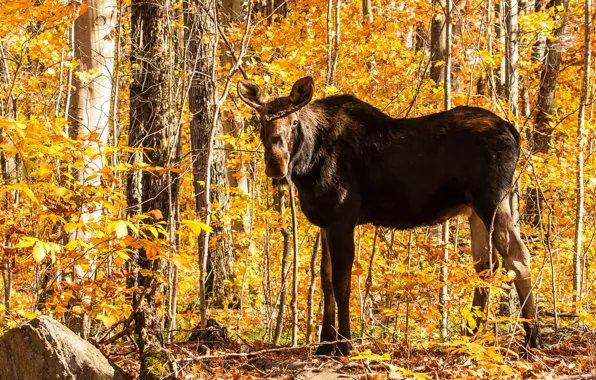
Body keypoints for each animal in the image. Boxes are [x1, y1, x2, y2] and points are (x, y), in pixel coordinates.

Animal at [236, 76, 540, 356]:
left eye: (294, 122)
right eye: (261, 122)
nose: (276, 162)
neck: (307, 165)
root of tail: (515, 134)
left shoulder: (342, 218)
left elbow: (342, 283)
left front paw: (344, 344)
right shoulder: (326, 221)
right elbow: (326, 280)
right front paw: (325, 344)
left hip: (492, 199)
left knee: (517, 256)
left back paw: (532, 340)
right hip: (474, 210)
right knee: (486, 265)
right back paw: (469, 338)